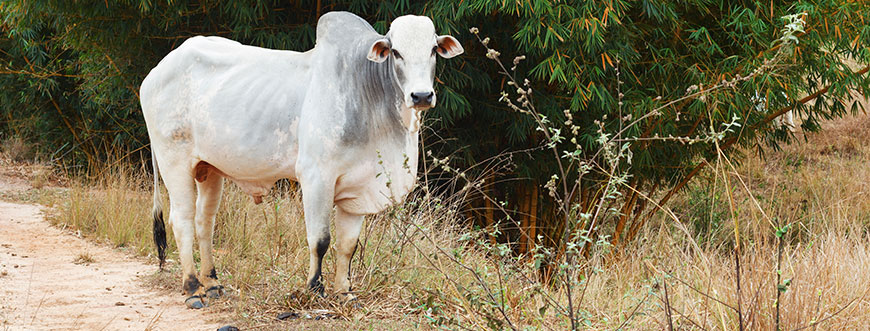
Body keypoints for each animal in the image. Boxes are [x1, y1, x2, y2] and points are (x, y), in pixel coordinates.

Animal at [140, 11, 464, 310]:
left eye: (433, 49)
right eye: (396, 52)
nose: (421, 95)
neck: (365, 93)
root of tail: (156, 71)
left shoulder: (358, 188)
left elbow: (348, 245)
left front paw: (345, 293)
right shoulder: (316, 177)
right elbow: (320, 240)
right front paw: (314, 289)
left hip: (210, 169)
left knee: (204, 221)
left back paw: (213, 284)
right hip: (174, 162)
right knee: (181, 220)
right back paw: (193, 288)